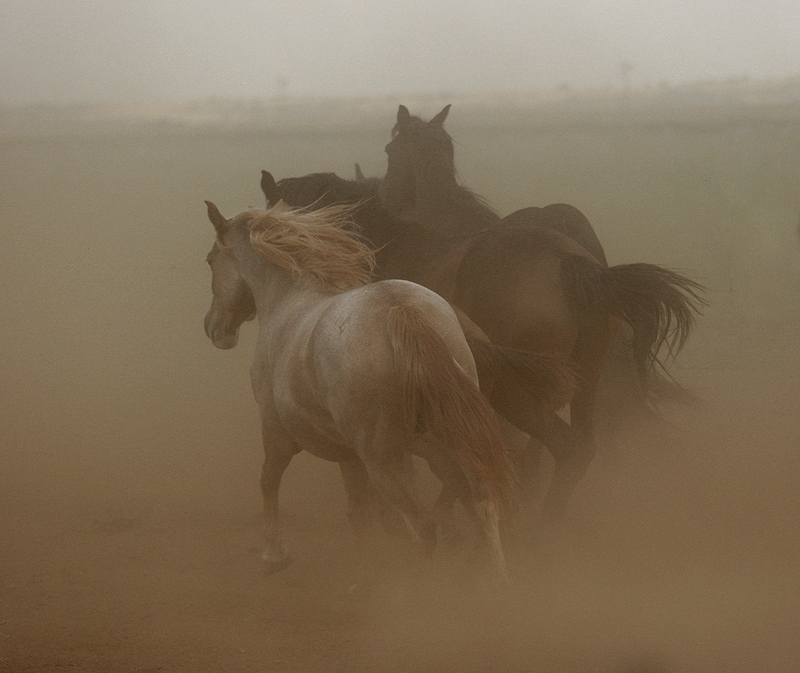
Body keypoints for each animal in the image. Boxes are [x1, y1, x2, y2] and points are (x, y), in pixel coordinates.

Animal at [202, 198, 524, 584]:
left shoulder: (278, 432)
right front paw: (364, 582)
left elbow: (269, 481)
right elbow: (358, 514)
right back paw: (498, 584)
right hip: (445, 449)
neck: (287, 300)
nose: (213, 328)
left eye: (210, 260)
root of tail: (400, 309)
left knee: (424, 527)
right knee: (482, 505)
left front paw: (274, 554)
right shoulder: (348, 454)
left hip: (385, 461)